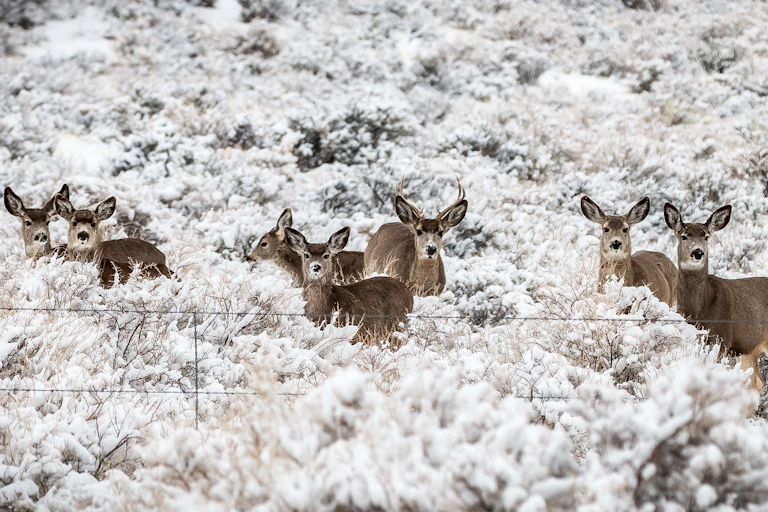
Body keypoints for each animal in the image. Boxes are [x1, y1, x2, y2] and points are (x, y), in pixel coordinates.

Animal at [664, 202, 768, 397]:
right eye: (683, 236)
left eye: (706, 236)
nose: (698, 252)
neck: (699, 311)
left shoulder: (721, 339)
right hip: (750, 349)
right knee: (756, 382)